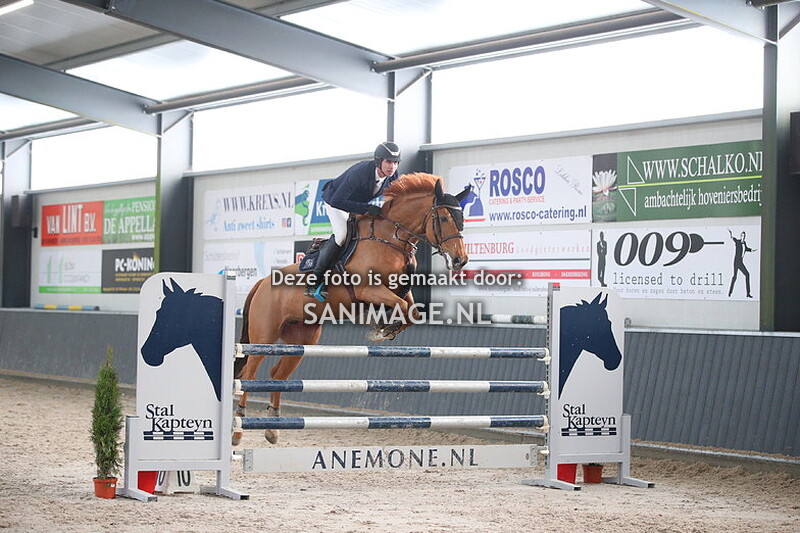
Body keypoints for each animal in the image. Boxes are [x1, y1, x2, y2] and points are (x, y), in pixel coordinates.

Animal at [233, 172, 470, 445]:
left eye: (461, 218)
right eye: (444, 218)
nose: (460, 260)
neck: (390, 237)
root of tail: (261, 282)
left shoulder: (400, 290)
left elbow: (412, 312)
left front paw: (386, 327)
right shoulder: (368, 289)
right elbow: (400, 306)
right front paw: (382, 330)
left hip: (302, 338)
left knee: (278, 375)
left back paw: (272, 429)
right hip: (265, 336)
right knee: (249, 374)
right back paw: (238, 431)